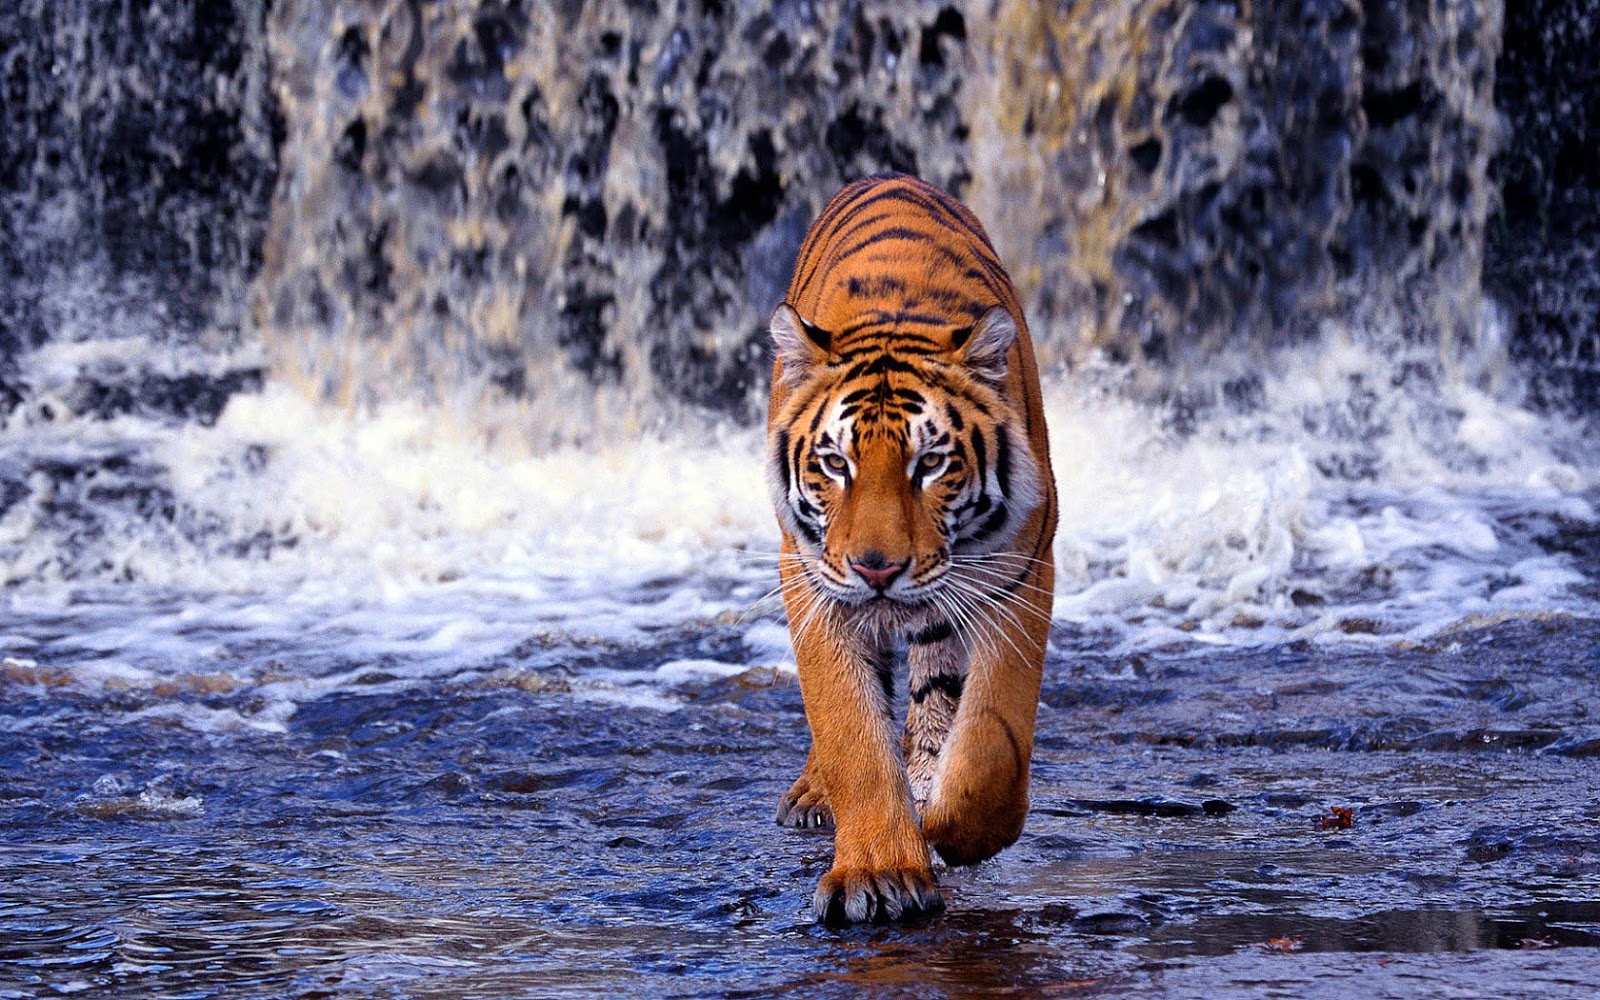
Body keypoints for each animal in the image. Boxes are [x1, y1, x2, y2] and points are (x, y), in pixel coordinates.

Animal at [765, 172, 1058, 924]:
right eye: (835, 463)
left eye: (930, 464)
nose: (877, 569)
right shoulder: (812, 580)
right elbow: (849, 728)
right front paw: (879, 872)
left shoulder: (1019, 572)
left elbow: (991, 737)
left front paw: (958, 829)